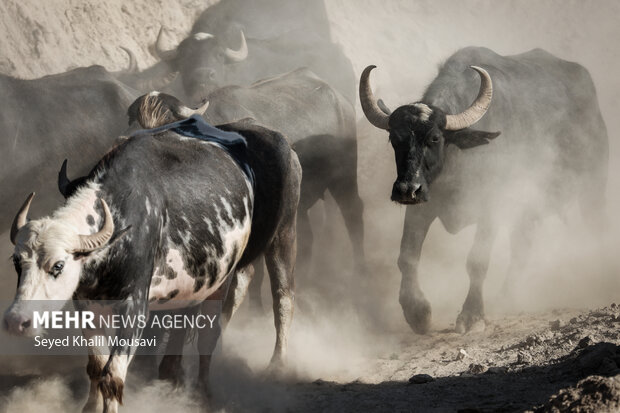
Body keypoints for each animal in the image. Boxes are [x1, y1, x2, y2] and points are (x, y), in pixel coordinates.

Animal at [4, 105, 300, 408]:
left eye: (58, 265)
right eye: (16, 262)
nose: (17, 321)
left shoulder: (135, 307)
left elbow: (112, 376)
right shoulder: (85, 304)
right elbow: (96, 367)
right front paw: (89, 406)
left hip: (282, 236)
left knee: (271, 303)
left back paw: (259, 371)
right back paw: (174, 376)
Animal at [360, 46, 608, 334]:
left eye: (435, 137)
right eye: (394, 138)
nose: (406, 189)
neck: (458, 161)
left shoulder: (491, 206)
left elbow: (477, 261)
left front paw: (472, 315)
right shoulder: (422, 206)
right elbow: (407, 256)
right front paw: (417, 312)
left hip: (593, 186)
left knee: (593, 225)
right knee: (522, 246)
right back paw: (506, 297)